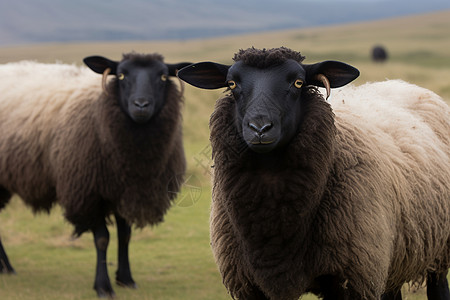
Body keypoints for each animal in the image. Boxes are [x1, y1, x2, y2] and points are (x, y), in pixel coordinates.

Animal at [0, 54, 191, 298]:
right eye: (121, 75)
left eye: (163, 76)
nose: (141, 105)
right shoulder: (90, 194)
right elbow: (102, 239)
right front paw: (103, 286)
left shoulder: (127, 189)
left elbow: (125, 235)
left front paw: (126, 279)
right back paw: (7, 266)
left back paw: (5, 267)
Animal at [178, 45, 450, 298]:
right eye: (232, 83)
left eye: (298, 82)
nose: (259, 128)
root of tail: (396, 83)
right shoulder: (248, 286)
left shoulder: (354, 279)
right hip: (391, 264)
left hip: (436, 253)